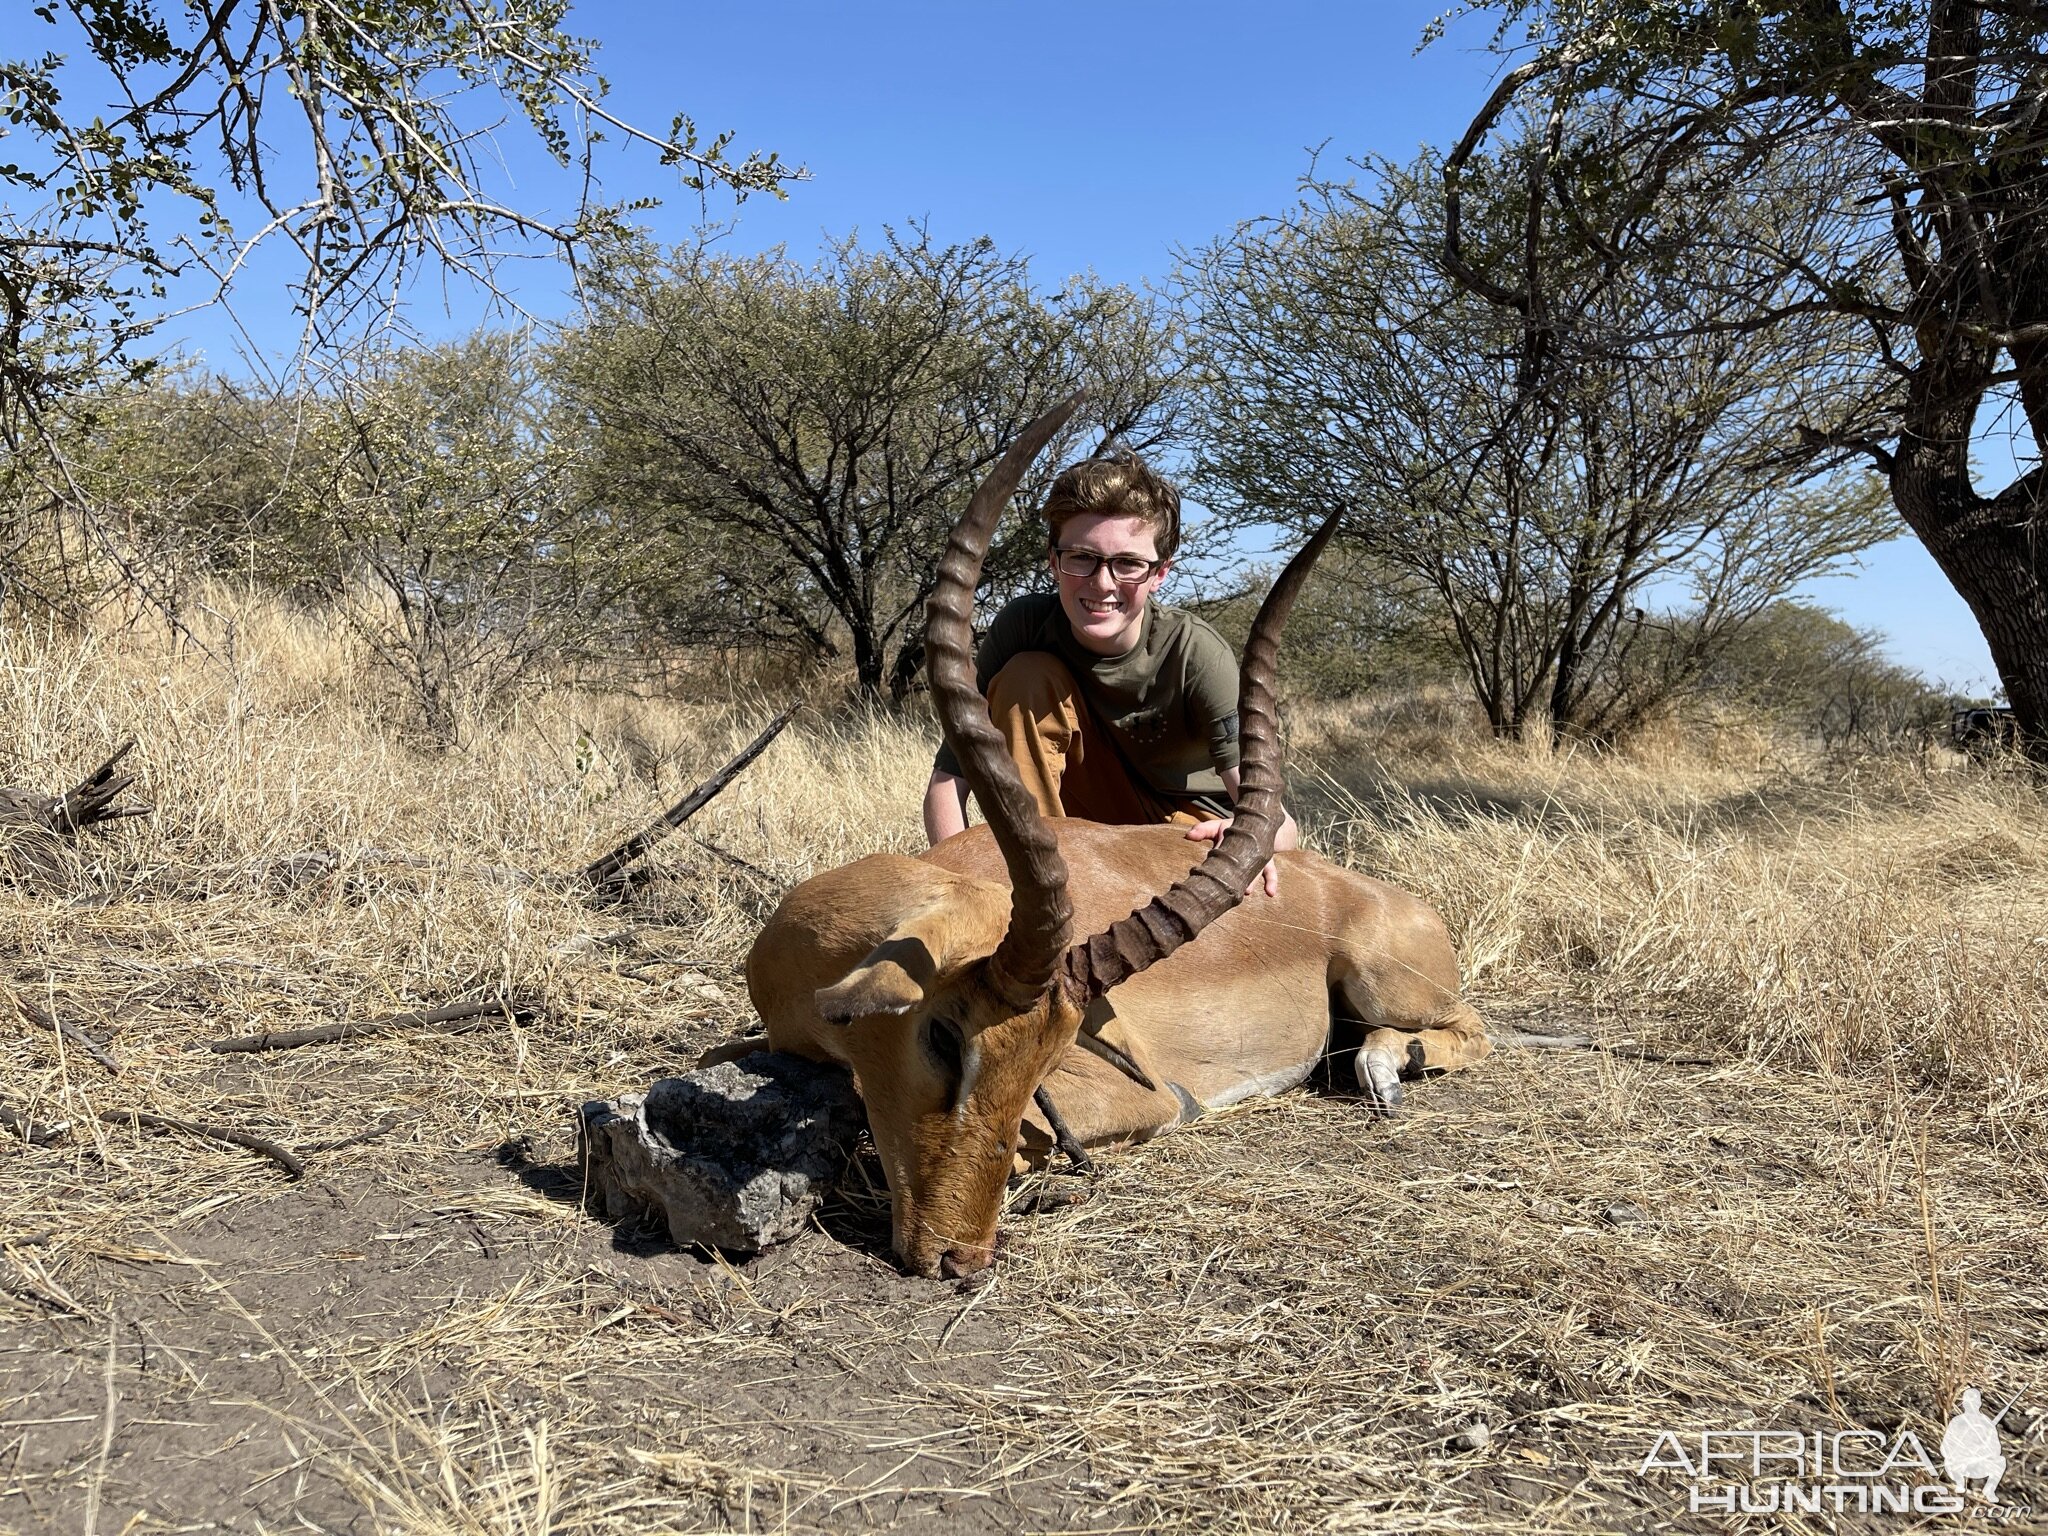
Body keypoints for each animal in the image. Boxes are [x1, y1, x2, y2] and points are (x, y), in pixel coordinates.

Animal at [737, 399, 1490, 1286]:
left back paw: (1385, 1070)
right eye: (943, 1035)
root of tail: (1370, 890)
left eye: (1045, 1054)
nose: (961, 1255)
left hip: (1382, 984)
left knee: (1471, 1026)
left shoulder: (1139, 1093)